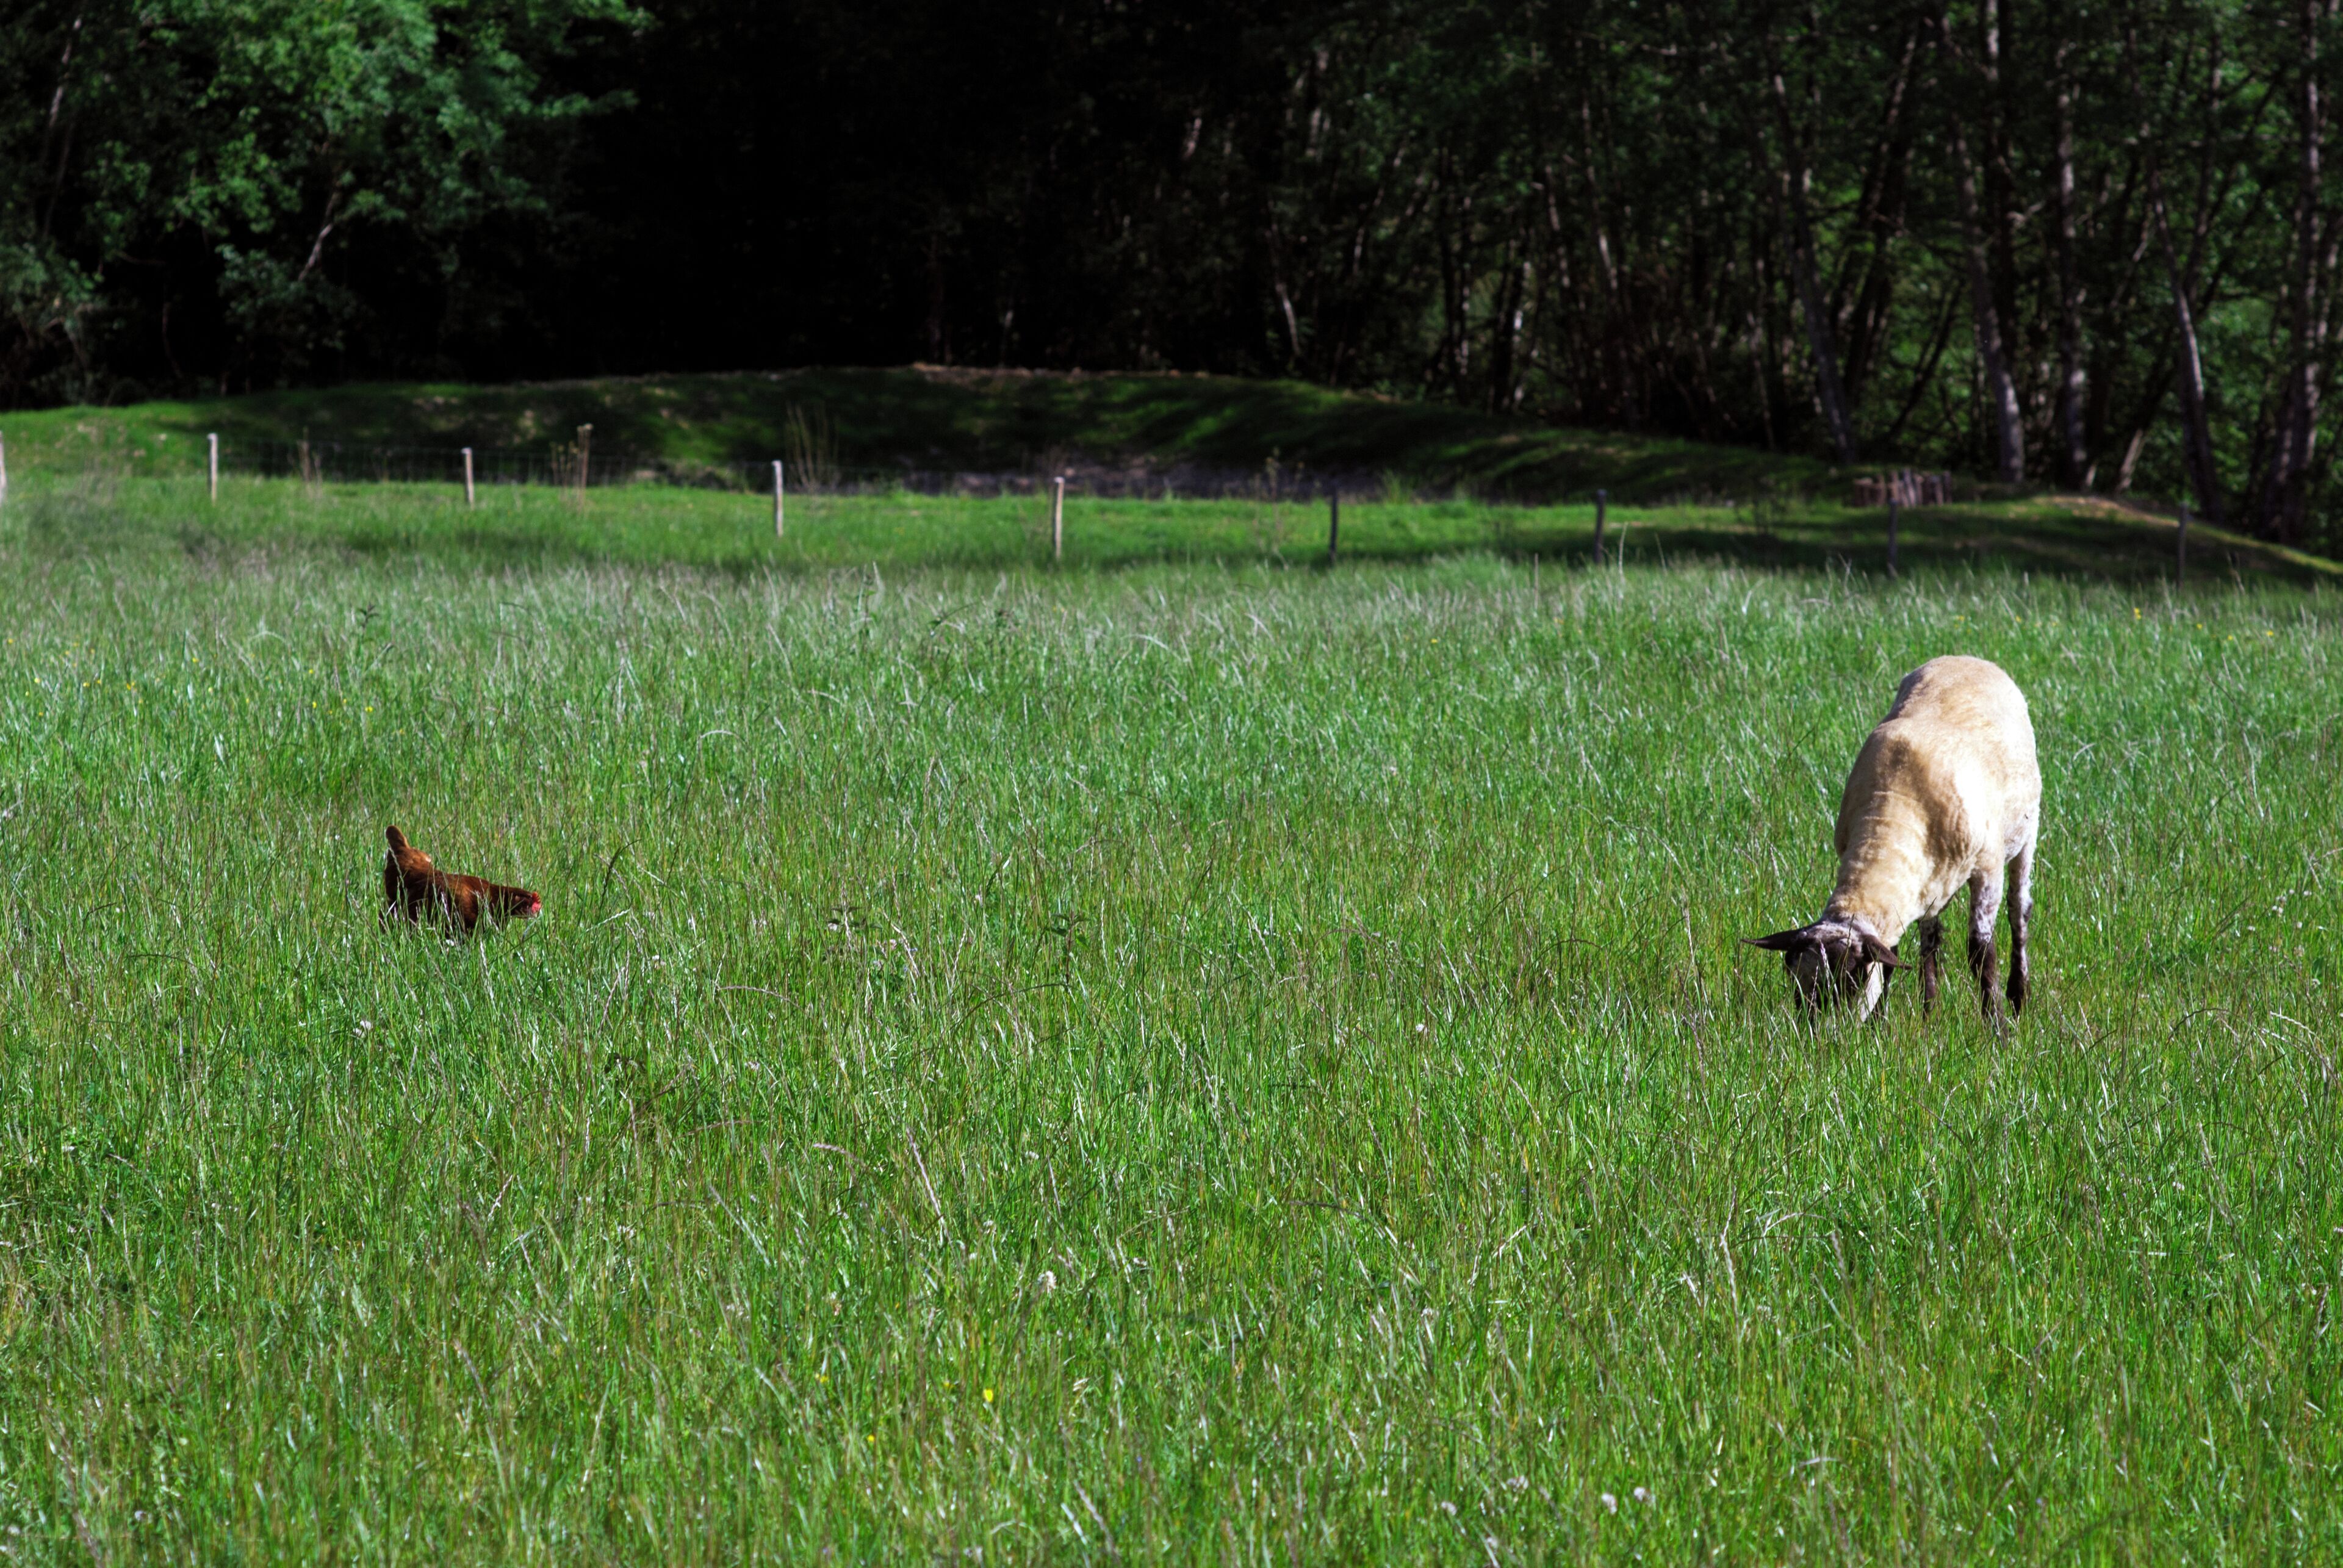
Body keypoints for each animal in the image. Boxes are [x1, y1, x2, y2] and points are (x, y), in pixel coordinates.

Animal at [1746, 655, 2040, 1024]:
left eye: (1851, 979)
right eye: (1794, 982)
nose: (1819, 1034)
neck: (1896, 808)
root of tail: (1966, 657)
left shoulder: (1987, 869)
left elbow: (1981, 954)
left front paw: (1997, 1027)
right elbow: (1891, 958)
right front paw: (1880, 1025)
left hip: (2027, 833)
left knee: (2019, 913)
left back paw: (2018, 996)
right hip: (1931, 881)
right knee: (1930, 938)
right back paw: (1929, 1013)